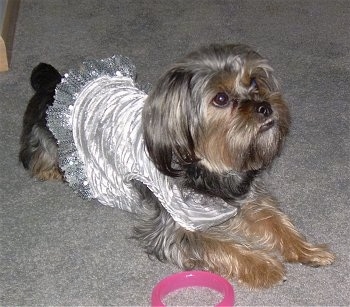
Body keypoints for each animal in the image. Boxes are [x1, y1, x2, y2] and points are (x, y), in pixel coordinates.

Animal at [18, 44, 334, 290]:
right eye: (221, 98)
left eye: (255, 81)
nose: (265, 106)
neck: (209, 166)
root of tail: (54, 83)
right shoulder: (176, 227)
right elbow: (222, 246)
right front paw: (265, 265)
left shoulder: (246, 198)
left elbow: (277, 222)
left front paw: (309, 250)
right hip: (46, 138)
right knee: (33, 155)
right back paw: (51, 170)